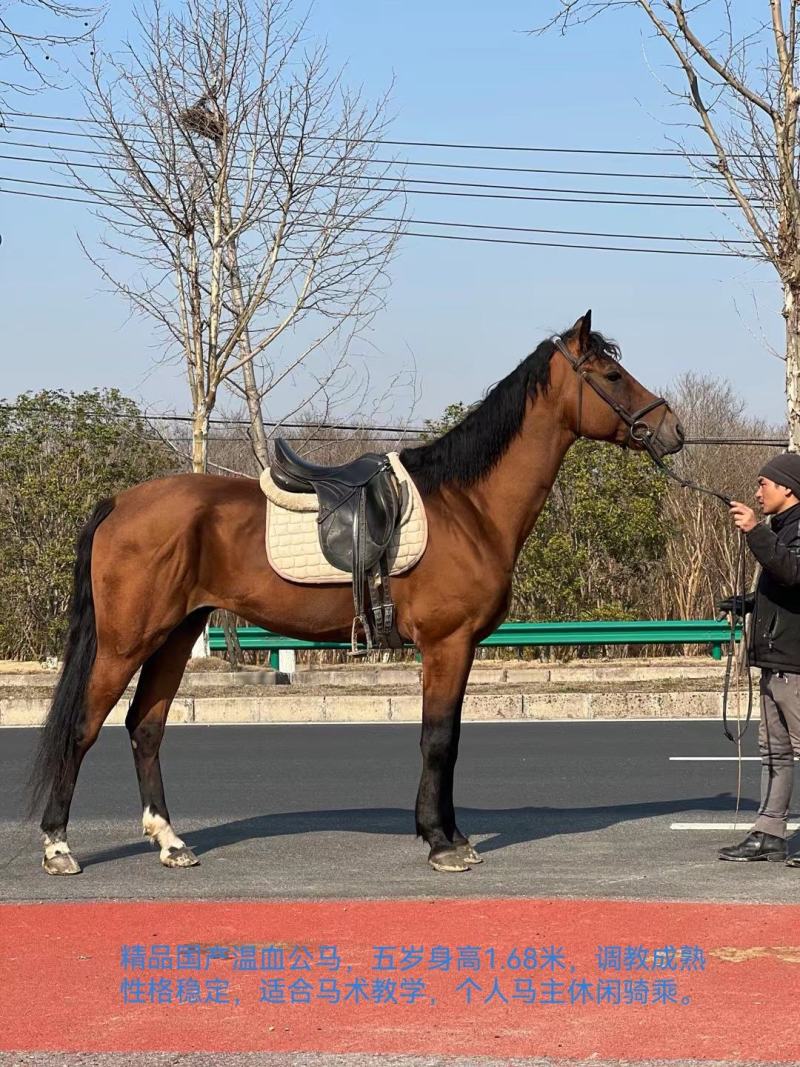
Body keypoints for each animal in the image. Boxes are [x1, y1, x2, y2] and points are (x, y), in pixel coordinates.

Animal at [27, 311, 684, 876]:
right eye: (611, 375)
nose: (671, 430)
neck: (467, 506)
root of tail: (118, 504)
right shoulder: (447, 645)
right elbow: (438, 739)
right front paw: (442, 842)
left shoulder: (457, 649)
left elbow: (447, 738)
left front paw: (451, 833)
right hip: (127, 641)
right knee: (84, 725)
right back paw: (58, 847)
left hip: (176, 633)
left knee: (145, 727)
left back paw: (170, 842)